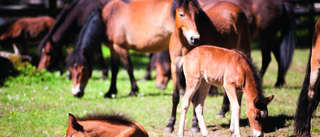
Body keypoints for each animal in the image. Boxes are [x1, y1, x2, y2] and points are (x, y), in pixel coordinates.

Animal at [165, 0, 252, 133]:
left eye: (197, 15)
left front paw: (194, 125)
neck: (184, 44)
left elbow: (194, 99)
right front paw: (170, 124)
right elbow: (175, 97)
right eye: (181, 14)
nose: (195, 38)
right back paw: (223, 111)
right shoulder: (174, 67)